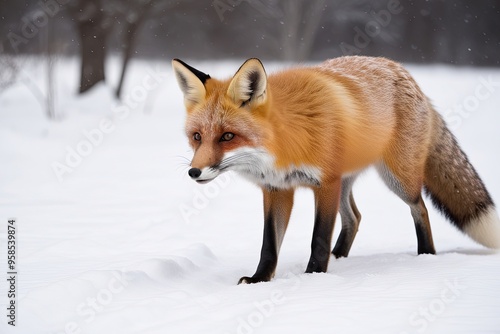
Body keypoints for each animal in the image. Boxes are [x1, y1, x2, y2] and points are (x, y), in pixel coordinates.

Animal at [172, 56, 500, 284]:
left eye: (227, 136)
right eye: (197, 137)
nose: (194, 172)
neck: (286, 142)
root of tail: (403, 71)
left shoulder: (325, 183)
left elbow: (318, 237)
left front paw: (314, 276)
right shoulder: (277, 189)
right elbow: (269, 244)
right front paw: (259, 279)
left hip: (397, 180)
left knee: (420, 208)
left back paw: (426, 255)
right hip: (347, 184)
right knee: (355, 217)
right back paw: (340, 257)